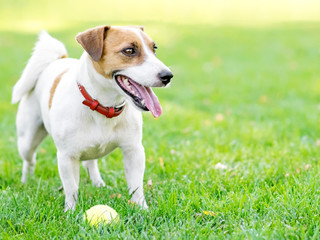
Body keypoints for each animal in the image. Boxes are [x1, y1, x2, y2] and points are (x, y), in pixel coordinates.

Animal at [11, 25, 172, 211]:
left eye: (154, 48)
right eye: (129, 51)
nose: (168, 76)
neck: (103, 107)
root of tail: (56, 61)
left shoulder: (134, 151)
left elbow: (136, 186)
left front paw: (141, 209)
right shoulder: (67, 157)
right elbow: (71, 188)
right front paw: (71, 211)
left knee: (90, 162)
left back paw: (98, 183)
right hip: (27, 140)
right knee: (29, 160)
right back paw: (27, 181)